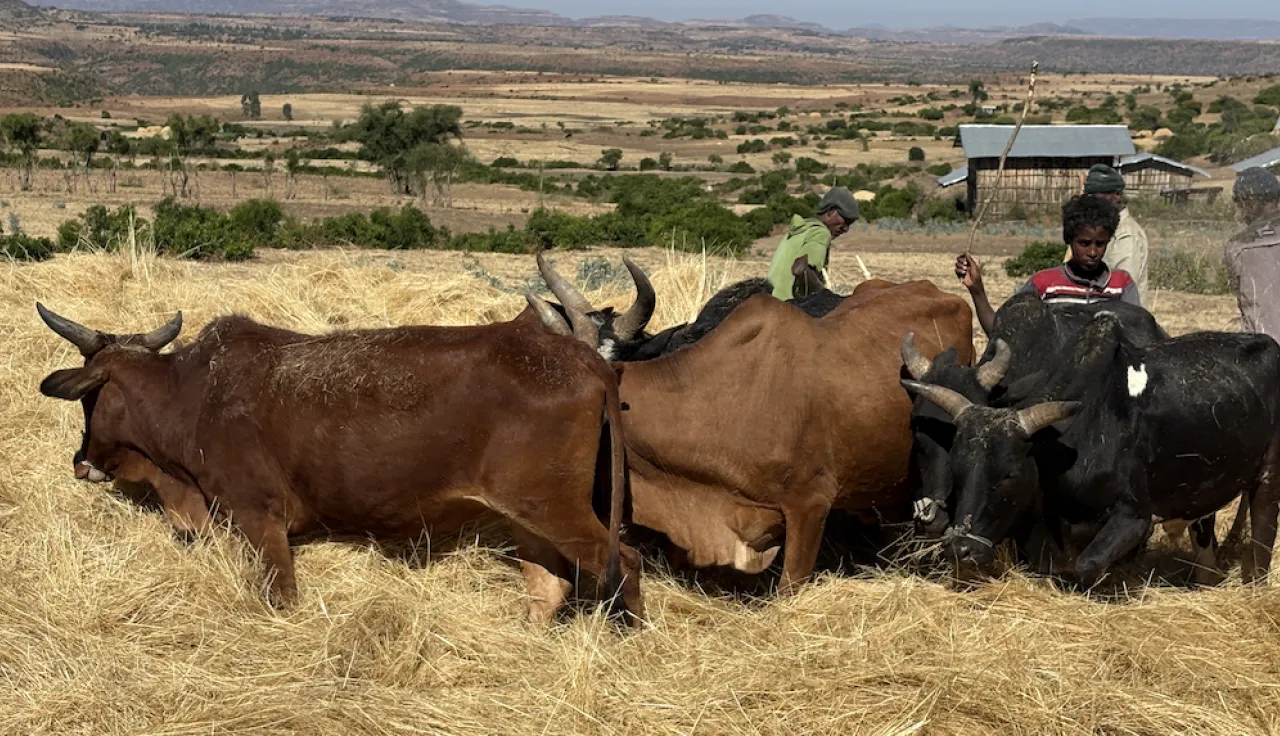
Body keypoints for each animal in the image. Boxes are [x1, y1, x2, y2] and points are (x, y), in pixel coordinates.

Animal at [36, 298, 644, 624]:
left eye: (90, 398)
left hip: (556, 510)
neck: (191, 393)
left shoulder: (259, 520)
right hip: (527, 517)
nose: (80, 461)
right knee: (549, 586)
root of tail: (582, 357)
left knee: (625, 562)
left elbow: (280, 597)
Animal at [901, 311, 1280, 588]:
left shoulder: (1134, 518)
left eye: (1008, 474)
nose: (960, 549)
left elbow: (1086, 566)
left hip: (1268, 480)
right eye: (958, 468)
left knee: (1262, 543)